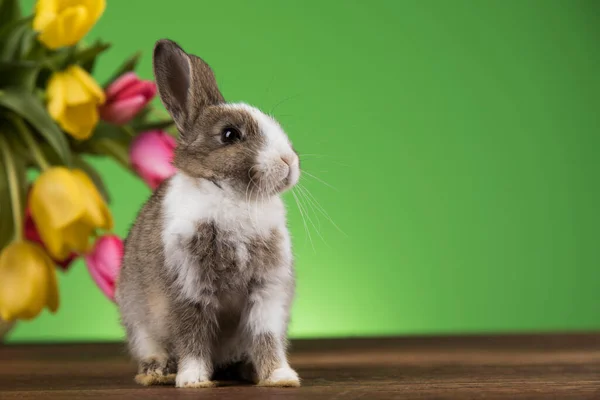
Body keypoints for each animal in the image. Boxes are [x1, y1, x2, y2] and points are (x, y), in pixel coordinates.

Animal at [113, 39, 300, 390]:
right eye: (230, 135)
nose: (289, 161)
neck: (233, 197)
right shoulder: (187, 286)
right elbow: (192, 334)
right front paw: (193, 380)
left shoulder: (267, 290)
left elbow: (266, 335)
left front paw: (280, 377)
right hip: (139, 322)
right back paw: (156, 372)